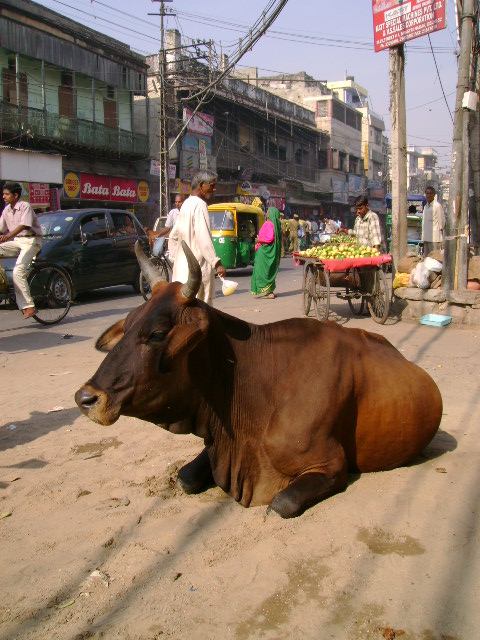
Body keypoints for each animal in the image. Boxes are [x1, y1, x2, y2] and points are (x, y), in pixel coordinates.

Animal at [76, 242, 442, 516]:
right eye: (128, 325)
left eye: (156, 334)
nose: (86, 398)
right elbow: (185, 477)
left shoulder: (332, 464)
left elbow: (281, 503)